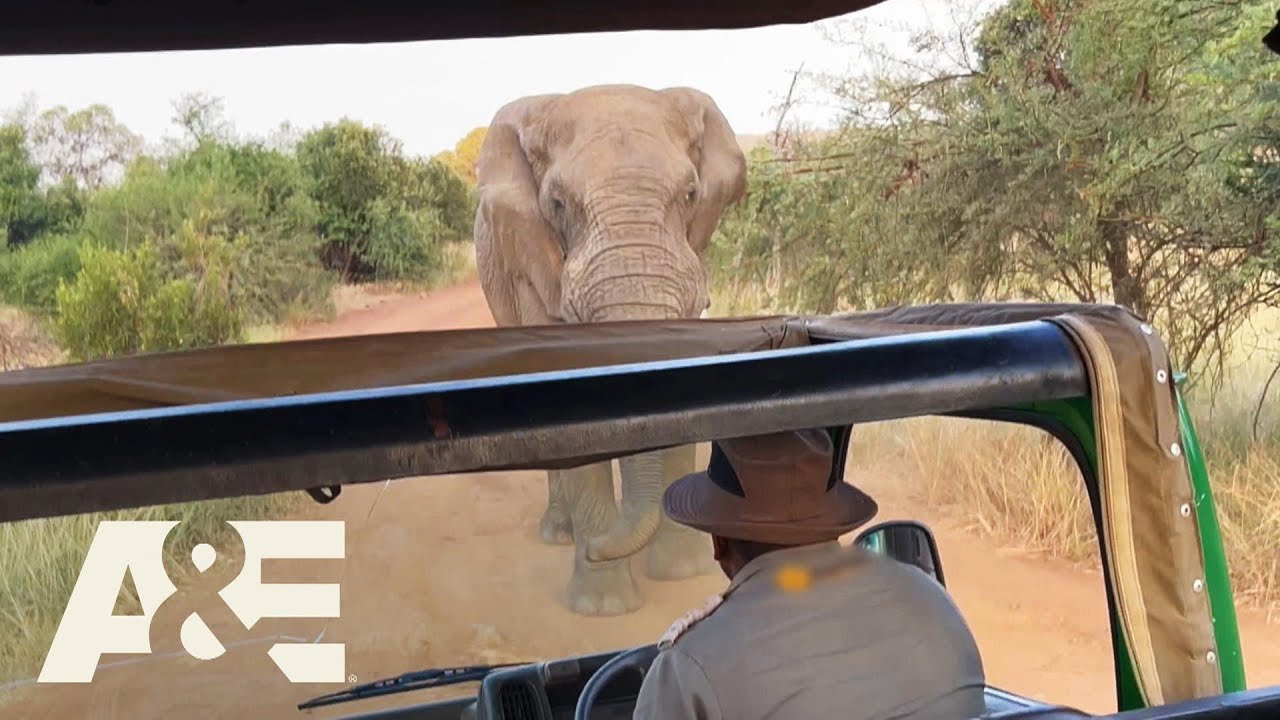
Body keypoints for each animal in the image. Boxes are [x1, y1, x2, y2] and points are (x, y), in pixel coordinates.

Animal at [472, 84, 748, 616]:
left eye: (691, 195)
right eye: (558, 203)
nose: (595, 550)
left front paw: (681, 573)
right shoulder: (533, 266)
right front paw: (603, 606)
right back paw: (563, 533)